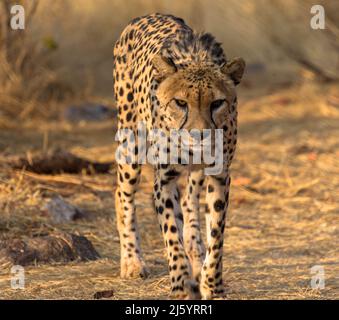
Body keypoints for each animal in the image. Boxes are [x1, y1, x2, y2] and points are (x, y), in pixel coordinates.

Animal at [113, 13, 246, 300]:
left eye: (217, 103)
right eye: (180, 103)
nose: (199, 134)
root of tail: (146, 16)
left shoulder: (219, 175)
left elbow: (216, 234)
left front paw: (212, 285)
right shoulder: (164, 178)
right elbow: (171, 235)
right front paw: (182, 285)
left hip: (195, 172)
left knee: (189, 200)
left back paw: (195, 249)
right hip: (131, 143)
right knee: (122, 194)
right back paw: (132, 261)